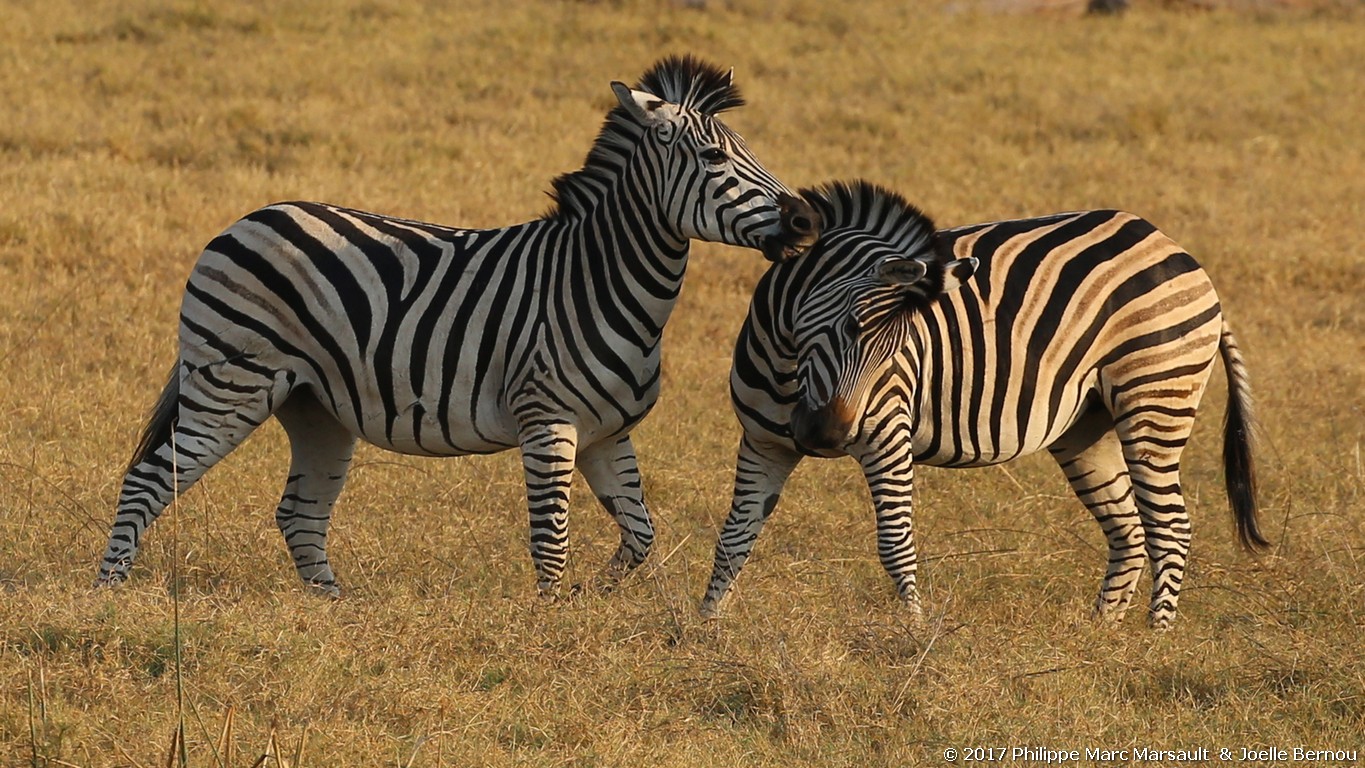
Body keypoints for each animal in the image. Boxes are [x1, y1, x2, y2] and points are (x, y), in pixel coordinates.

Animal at [101, 56, 819, 597]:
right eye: (713, 158)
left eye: (748, 151)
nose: (806, 219)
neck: (598, 280)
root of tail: (243, 221)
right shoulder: (548, 422)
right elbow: (551, 542)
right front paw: (549, 627)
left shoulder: (605, 434)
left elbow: (641, 536)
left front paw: (597, 594)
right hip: (230, 382)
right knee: (146, 480)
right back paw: (107, 594)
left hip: (315, 407)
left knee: (299, 513)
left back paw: (336, 611)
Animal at [704, 180, 1266, 630]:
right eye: (851, 327)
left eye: (899, 350)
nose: (824, 437)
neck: (788, 366)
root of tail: (1175, 249)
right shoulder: (763, 444)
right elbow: (734, 537)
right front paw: (704, 628)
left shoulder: (887, 434)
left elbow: (895, 543)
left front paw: (913, 634)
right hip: (1088, 427)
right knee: (1128, 529)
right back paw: (1102, 634)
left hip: (1155, 397)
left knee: (1170, 528)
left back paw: (1154, 638)